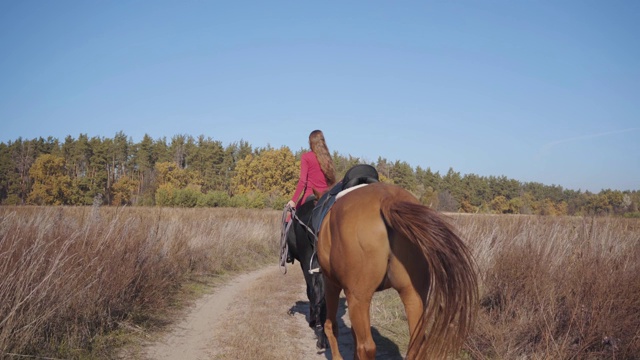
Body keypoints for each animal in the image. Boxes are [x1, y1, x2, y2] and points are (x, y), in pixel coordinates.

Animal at [318, 184, 478, 358]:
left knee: (365, 346)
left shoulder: (331, 284)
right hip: (413, 294)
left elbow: (331, 326)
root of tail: (387, 198)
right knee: (417, 343)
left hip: (358, 297)